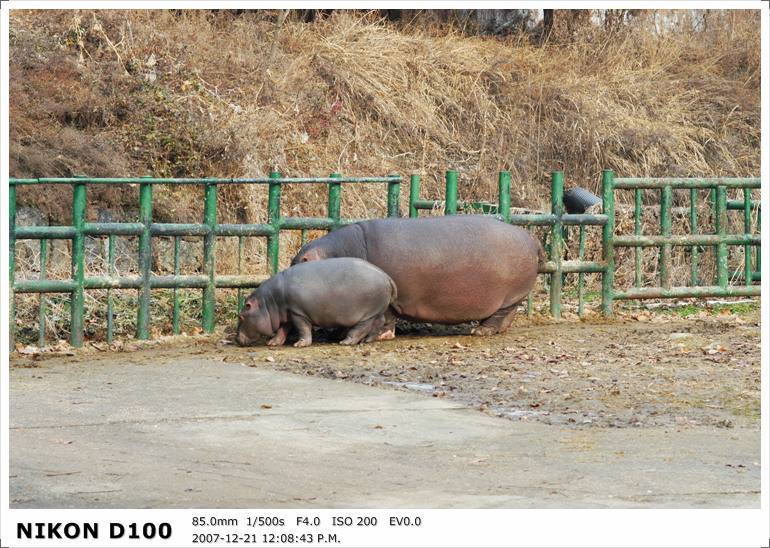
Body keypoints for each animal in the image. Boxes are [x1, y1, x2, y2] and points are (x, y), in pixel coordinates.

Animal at [236, 258, 396, 346]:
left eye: (241, 316)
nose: (237, 339)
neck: (268, 303)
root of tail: (387, 277)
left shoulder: (298, 312)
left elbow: (303, 328)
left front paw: (300, 344)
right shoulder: (287, 313)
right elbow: (282, 329)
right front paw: (273, 343)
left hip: (367, 313)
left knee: (362, 327)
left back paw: (346, 342)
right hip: (377, 310)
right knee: (379, 322)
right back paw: (367, 341)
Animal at [292, 215, 540, 338]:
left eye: (301, 264)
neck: (338, 253)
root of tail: (528, 234)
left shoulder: (389, 298)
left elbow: (386, 317)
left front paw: (382, 335)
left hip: (509, 295)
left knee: (500, 314)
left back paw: (480, 332)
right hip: (513, 296)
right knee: (507, 315)